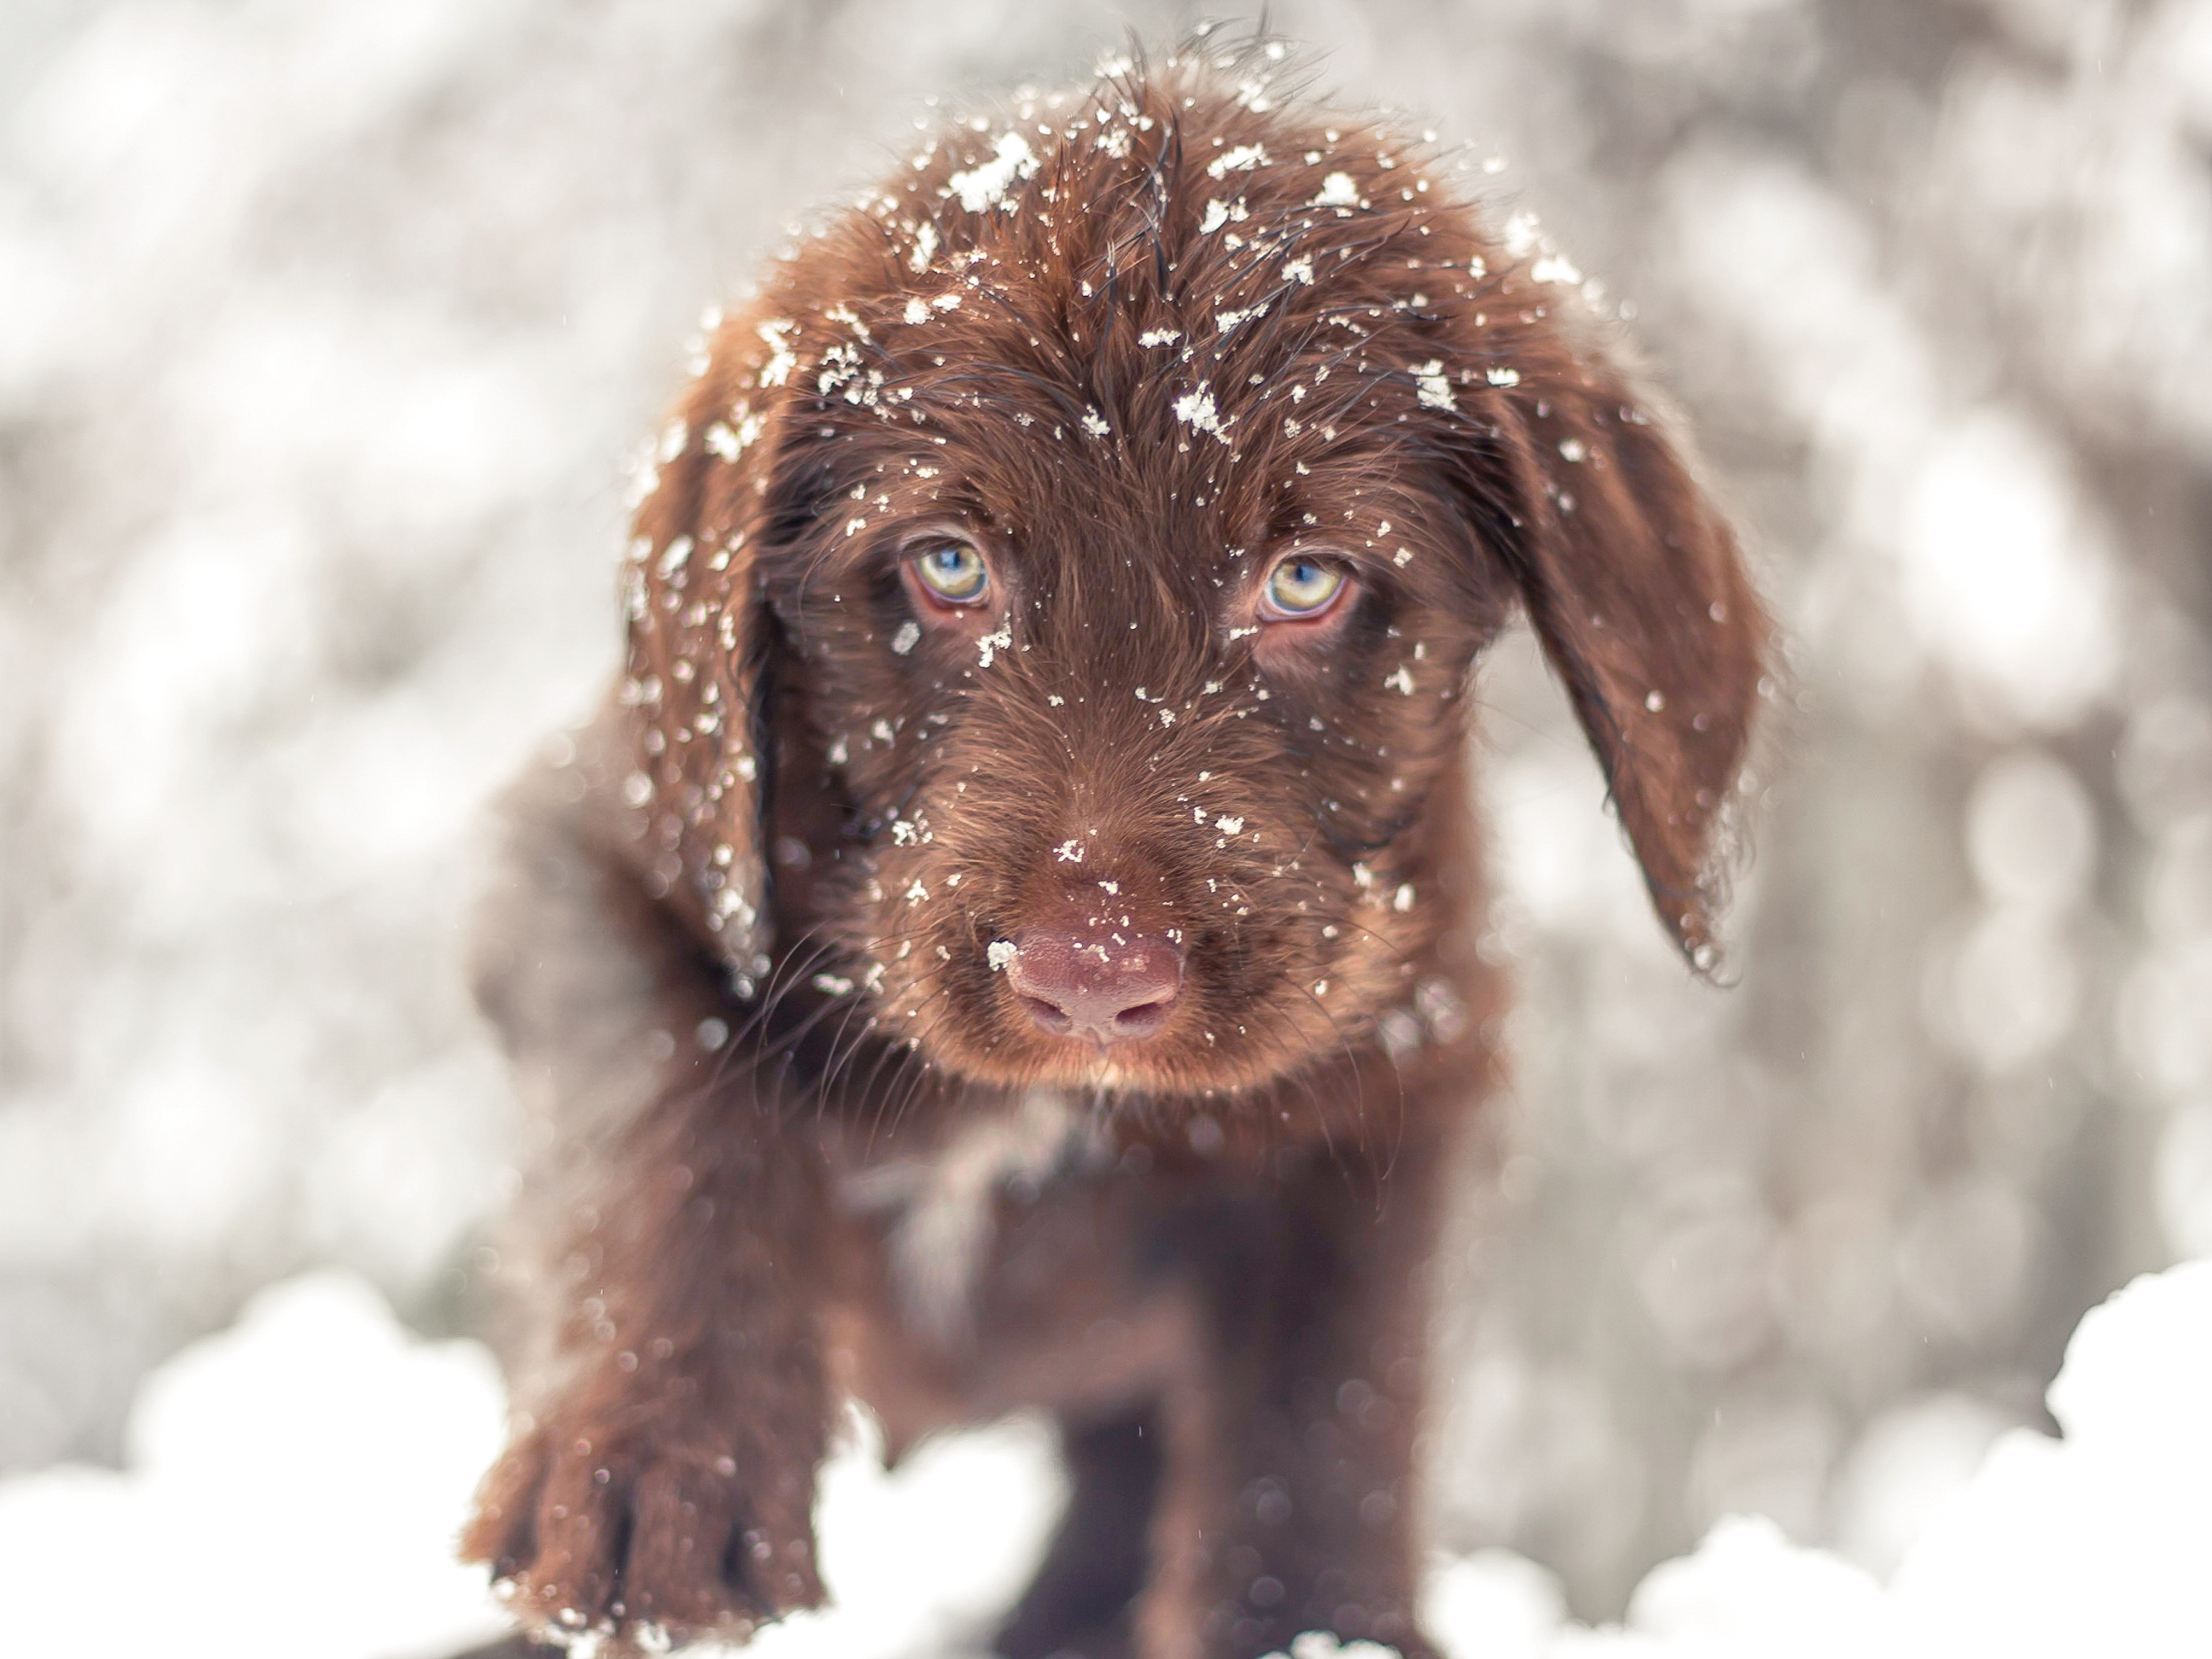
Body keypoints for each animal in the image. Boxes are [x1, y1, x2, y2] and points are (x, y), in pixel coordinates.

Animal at [462, 45, 1760, 1659]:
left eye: (1305, 581)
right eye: (948, 566)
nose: (1089, 972)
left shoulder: (1395, 1070)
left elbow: (1320, 1390)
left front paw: (1306, 1623)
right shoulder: (600, 857)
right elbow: (670, 1118)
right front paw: (656, 1469)